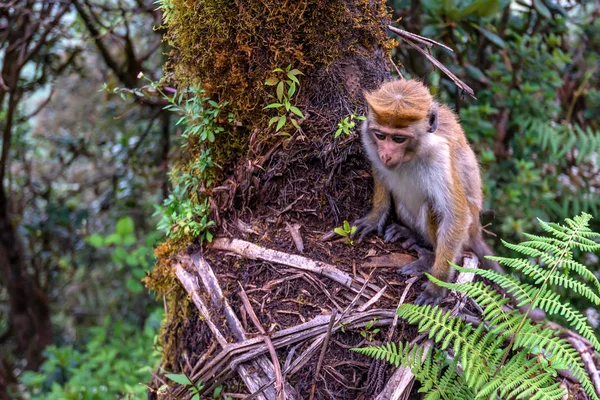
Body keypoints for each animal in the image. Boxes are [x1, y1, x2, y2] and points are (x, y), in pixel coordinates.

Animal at [354, 79, 504, 306]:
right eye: (380, 136)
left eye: (399, 139)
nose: (386, 154)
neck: (412, 156)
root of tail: (478, 229)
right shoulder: (368, 139)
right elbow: (380, 174)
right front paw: (374, 217)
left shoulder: (440, 155)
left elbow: (456, 215)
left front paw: (438, 285)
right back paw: (412, 233)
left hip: (467, 233)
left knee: (434, 207)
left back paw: (430, 258)